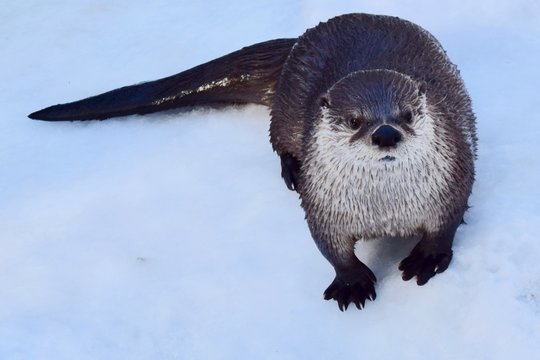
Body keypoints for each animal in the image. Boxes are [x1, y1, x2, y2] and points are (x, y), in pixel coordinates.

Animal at [30, 13, 476, 310]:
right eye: (354, 120)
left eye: (408, 114)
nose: (385, 133)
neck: (387, 209)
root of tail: (298, 42)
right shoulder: (323, 205)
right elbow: (329, 247)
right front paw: (350, 282)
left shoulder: (451, 179)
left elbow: (446, 225)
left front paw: (427, 258)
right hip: (288, 108)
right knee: (279, 140)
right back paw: (290, 170)